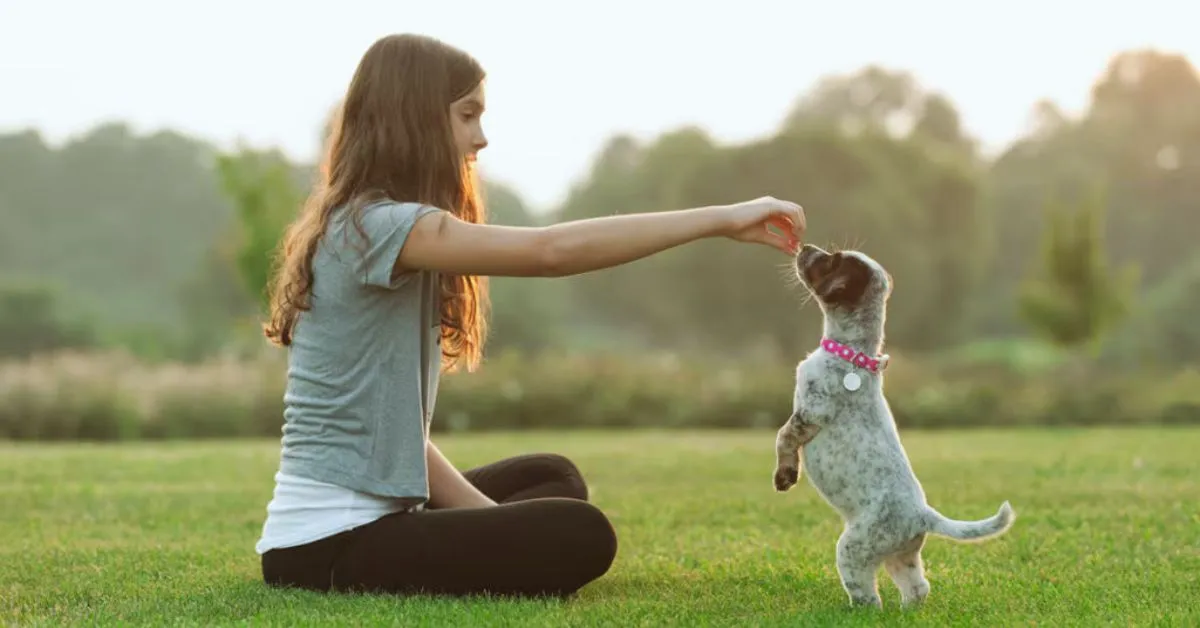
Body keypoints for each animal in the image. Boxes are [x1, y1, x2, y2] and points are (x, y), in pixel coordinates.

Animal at [772, 244, 1017, 609]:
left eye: (831, 260)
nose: (804, 247)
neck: (852, 354)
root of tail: (923, 513)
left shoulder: (811, 412)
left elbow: (783, 438)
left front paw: (785, 475)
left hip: (854, 549)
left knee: (868, 596)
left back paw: (857, 611)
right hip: (900, 557)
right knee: (919, 588)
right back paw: (906, 612)